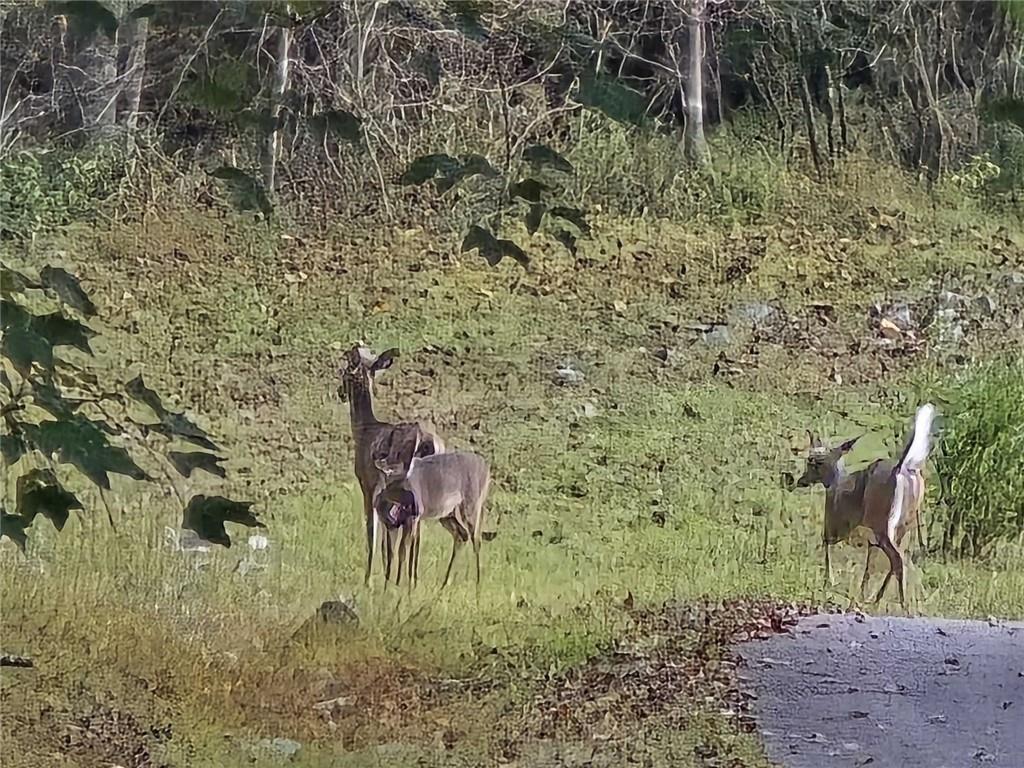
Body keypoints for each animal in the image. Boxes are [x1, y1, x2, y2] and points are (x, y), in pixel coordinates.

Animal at [337, 346, 446, 585]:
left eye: (345, 372)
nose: (339, 392)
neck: (363, 430)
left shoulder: (369, 484)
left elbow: (373, 531)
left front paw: (369, 579)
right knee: (416, 534)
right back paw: (411, 581)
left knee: (407, 534)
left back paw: (398, 581)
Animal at [374, 454, 489, 593]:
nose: (415, 504)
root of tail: (486, 468)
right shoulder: (391, 526)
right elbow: (390, 553)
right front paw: (386, 588)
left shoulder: (411, 520)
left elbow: (403, 550)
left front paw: (400, 586)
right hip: (447, 514)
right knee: (462, 535)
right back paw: (444, 585)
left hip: (471, 506)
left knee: (476, 540)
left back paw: (478, 587)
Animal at [794, 403, 937, 614]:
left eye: (814, 463)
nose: (801, 480)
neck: (837, 482)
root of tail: (902, 468)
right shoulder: (870, 538)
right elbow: (869, 565)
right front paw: (860, 595)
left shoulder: (838, 521)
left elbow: (826, 542)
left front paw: (829, 581)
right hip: (904, 525)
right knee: (899, 558)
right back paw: (878, 600)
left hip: (883, 524)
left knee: (897, 559)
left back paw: (903, 606)